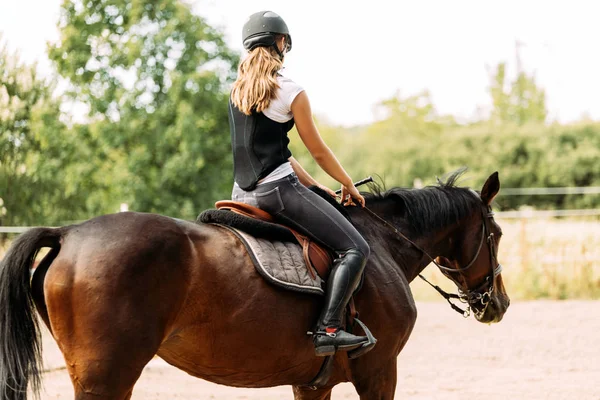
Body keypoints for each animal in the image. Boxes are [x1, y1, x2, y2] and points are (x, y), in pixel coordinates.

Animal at [0, 171, 508, 400]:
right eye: (498, 234)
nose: (497, 304)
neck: (383, 243)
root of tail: (68, 233)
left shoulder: (312, 382)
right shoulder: (380, 371)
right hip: (105, 377)